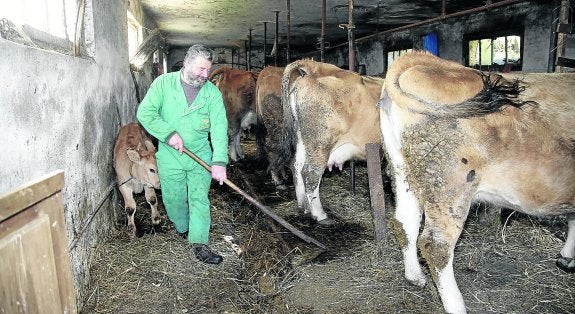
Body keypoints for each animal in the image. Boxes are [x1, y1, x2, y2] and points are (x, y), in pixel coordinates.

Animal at [276, 60, 388, 224]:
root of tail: (313, 69)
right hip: (321, 143)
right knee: (310, 173)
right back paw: (319, 214)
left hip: (304, 140)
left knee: (296, 165)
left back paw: (304, 206)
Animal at [378, 50, 575, 312]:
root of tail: (424, 59)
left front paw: (567, 257)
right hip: (451, 185)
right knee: (435, 246)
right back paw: (456, 305)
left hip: (404, 170)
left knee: (405, 220)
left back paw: (415, 277)